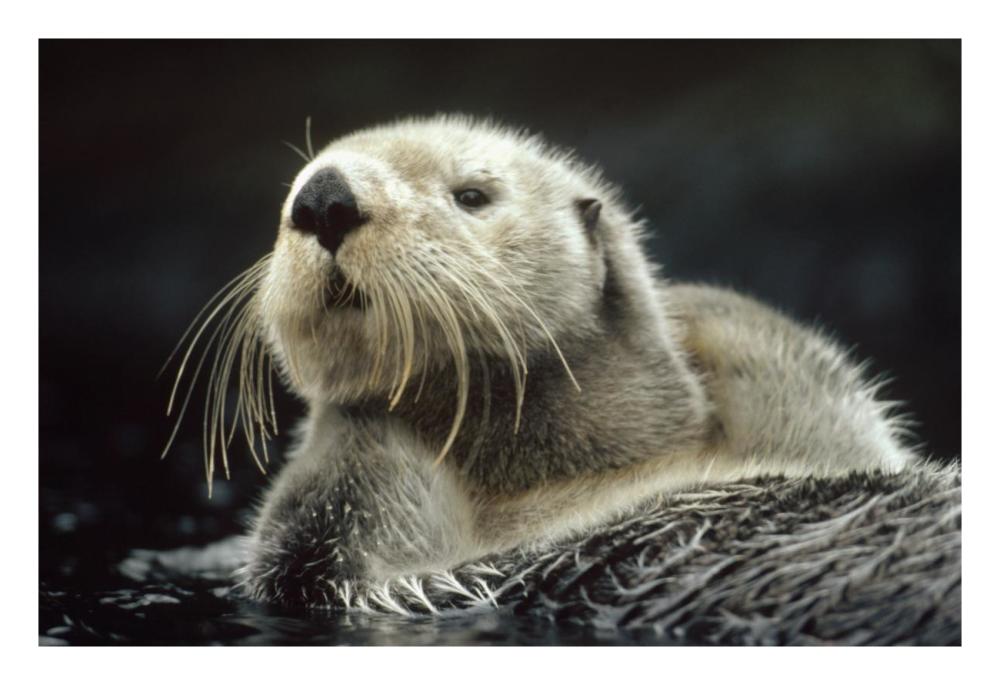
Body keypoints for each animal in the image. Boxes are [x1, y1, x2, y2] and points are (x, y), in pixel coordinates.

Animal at [165, 115, 916, 607]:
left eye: (472, 194)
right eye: (293, 190)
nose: (322, 197)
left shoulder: (830, 430)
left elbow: (823, 390)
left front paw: (694, 308)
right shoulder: (352, 559)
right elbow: (320, 518)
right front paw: (355, 419)